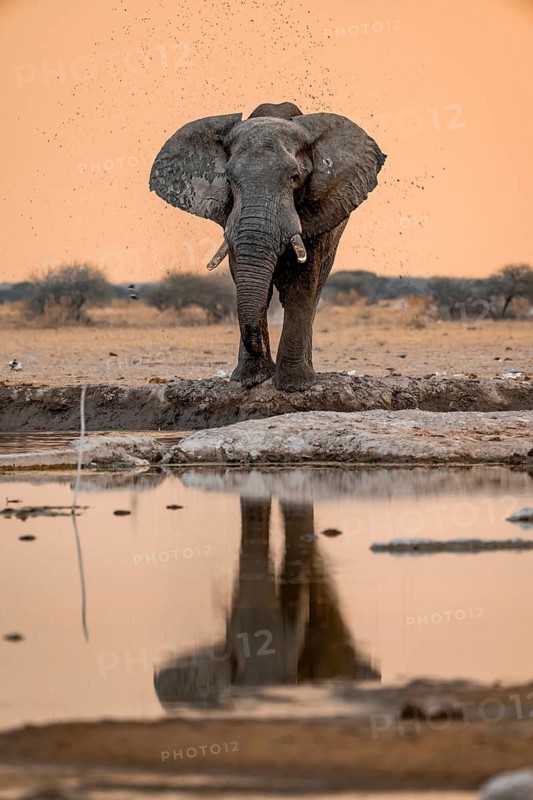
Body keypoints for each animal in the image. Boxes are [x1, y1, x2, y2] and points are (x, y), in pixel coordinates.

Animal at [149, 101, 386, 391]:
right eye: (229, 179)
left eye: (295, 177)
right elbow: (243, 274)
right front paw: (251, 379)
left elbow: (303, 280)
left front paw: (294, 385)